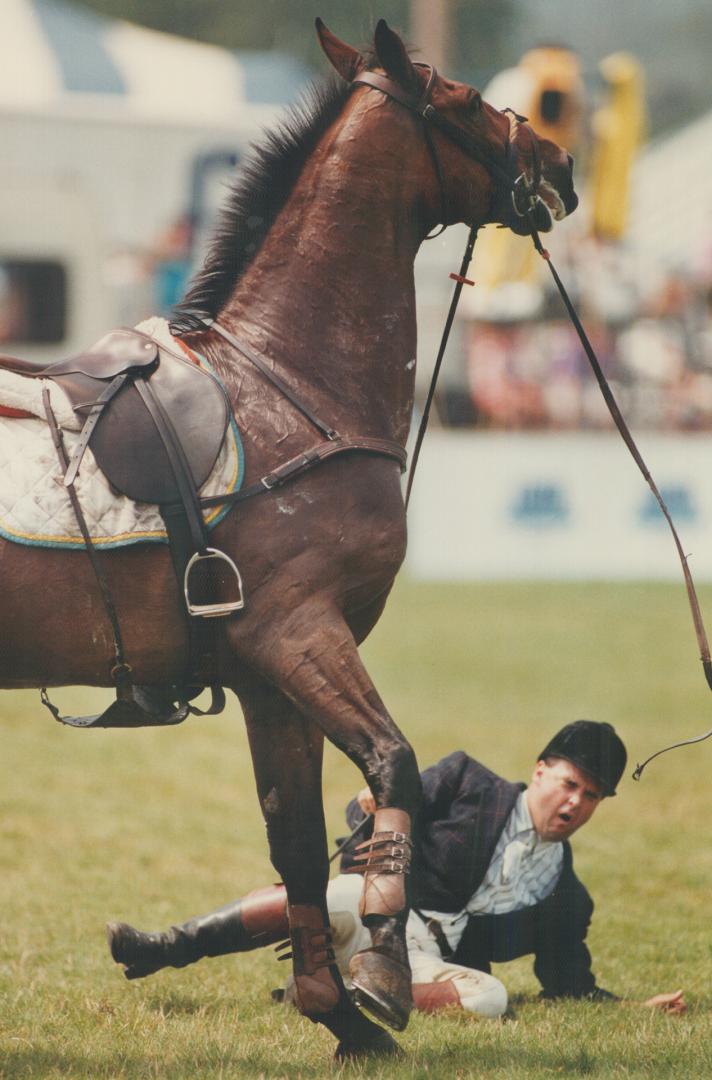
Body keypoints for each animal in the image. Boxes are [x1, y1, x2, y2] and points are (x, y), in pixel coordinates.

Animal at [0, 21, 574, 1058]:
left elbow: (298, 842)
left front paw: (339, 1014)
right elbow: (391, 763)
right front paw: (381, 961)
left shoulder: (269, 677)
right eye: (468, 98)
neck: (293, 382)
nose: (558, 158)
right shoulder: (298, 631)